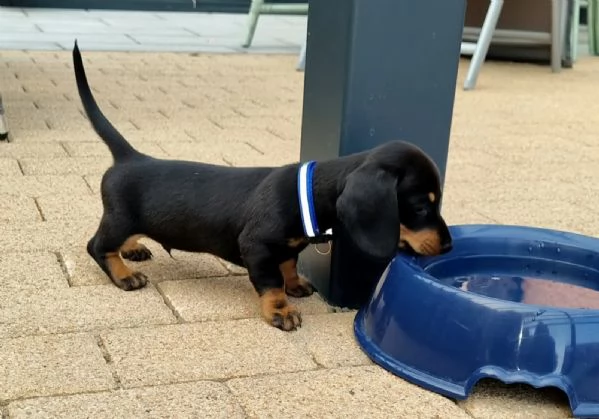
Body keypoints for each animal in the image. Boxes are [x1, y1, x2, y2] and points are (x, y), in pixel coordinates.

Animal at [72, 41, 452, 334]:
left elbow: (289, 266)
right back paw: (124, 275)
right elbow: (271, 283)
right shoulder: (257, 247)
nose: (448, 246)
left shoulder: (285, 247)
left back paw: (133, 248)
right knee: (98, 246)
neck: (306, 194)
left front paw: (296, 285)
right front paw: (281, 312)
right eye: (421, 206)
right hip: (119, 218)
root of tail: (130, 157)